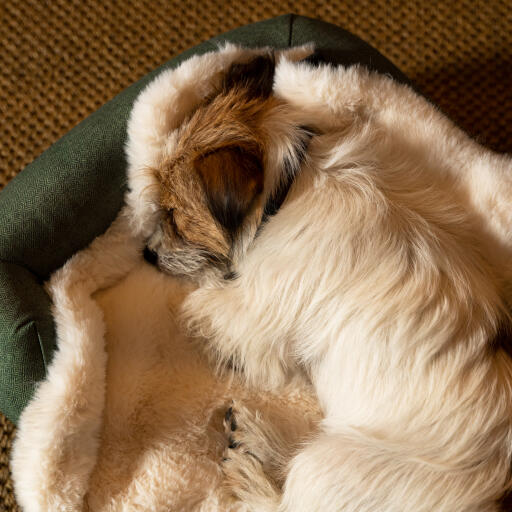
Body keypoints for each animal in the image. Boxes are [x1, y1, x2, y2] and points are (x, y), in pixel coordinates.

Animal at [126, 46, 512, 510]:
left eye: (173, 216)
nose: (147, 253)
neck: (288, 188)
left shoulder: (254, 318)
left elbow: (198, 304)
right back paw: (254, 438)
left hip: (328, 467)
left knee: (283, 501)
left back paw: (248, 469)